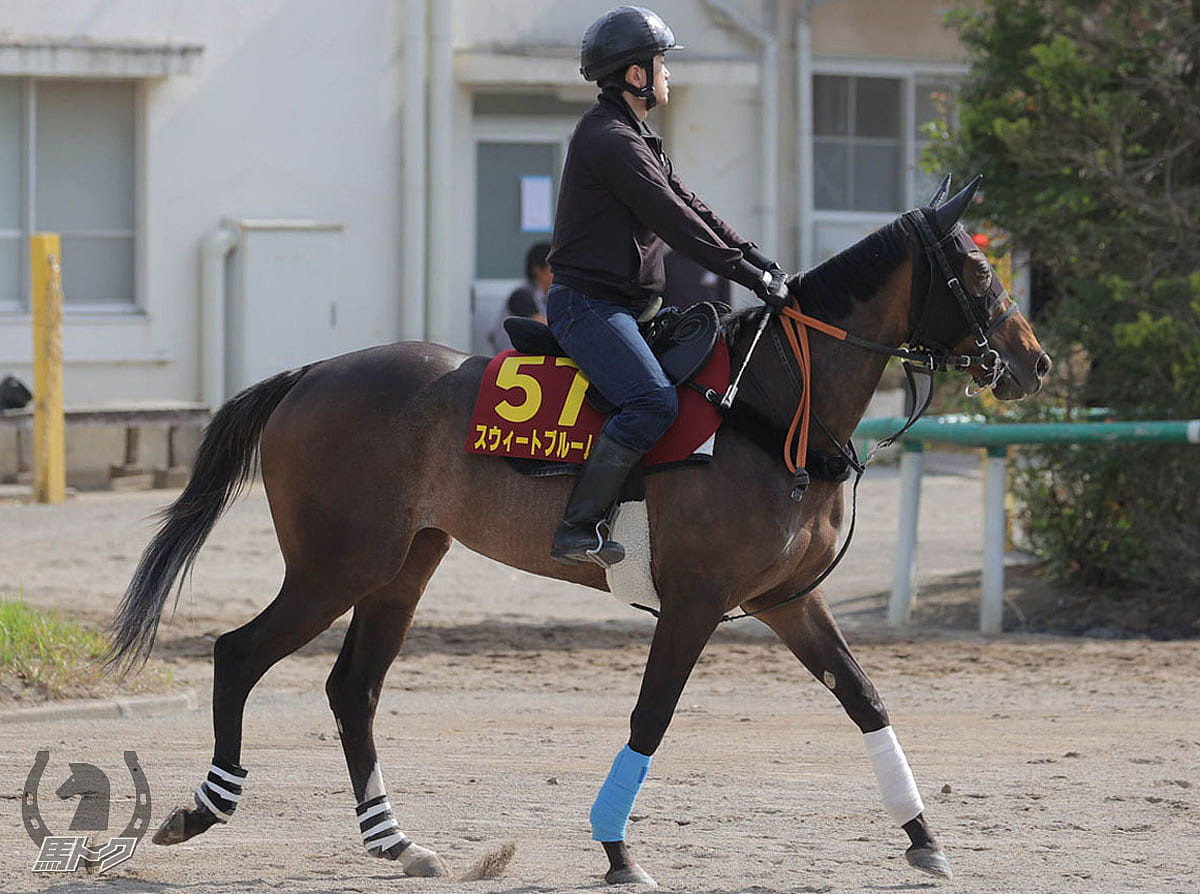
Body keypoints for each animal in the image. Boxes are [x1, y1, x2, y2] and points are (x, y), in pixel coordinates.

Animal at [110, 176, 1051, 888]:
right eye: (975, 267)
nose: (1034, 360)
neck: (768, 402)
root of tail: (311, 374)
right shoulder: (697, 602)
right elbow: (650, 718)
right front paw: (617, 849)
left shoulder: (787, 600)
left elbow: (863, 697)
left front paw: (924, 837)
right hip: (335, 567)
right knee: (240, 653)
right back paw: (206, 805)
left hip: (403, 567)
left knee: (354, 689)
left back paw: (394, 839)